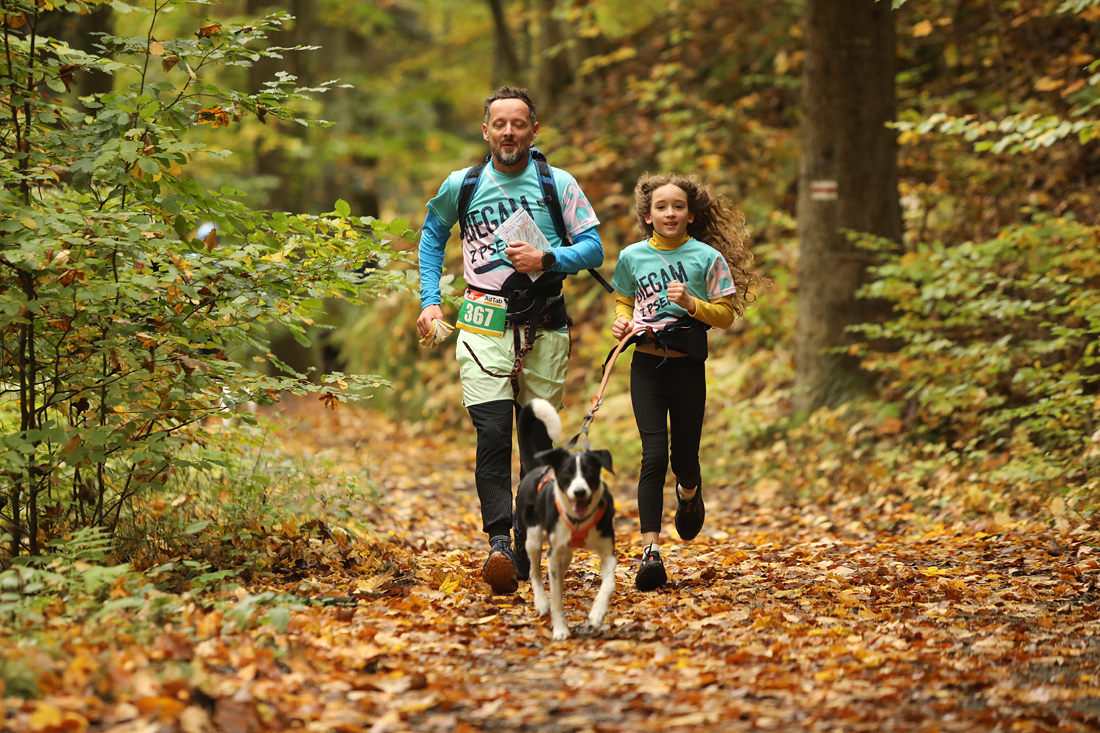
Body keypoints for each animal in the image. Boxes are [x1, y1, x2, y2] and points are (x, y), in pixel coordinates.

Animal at [514, 398, 615, 640]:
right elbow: (557, 598)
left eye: (589, 472)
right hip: (533, 537)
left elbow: (609, 584)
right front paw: (560, 629)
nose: (579, 492)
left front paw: (597, 614)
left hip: (566, 553)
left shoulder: (608, 552)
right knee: (534, 571)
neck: (580, 520)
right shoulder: (552, 553)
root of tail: (539, 468)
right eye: (567, 473)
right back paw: (541, 603)